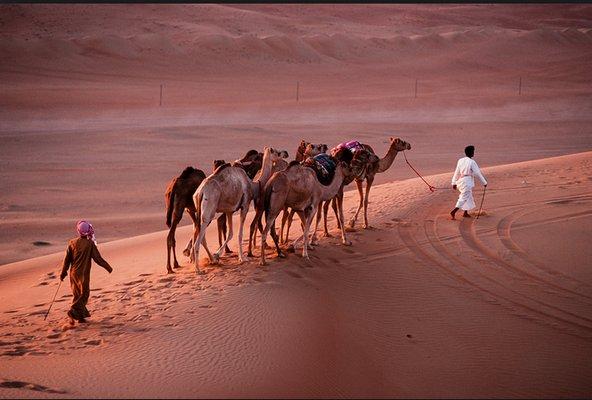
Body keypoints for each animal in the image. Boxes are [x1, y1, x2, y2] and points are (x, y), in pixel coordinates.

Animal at [190, 147, 282, 276]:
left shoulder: (229, 210)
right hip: (209, 210)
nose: (285, 153)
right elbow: (239, 234)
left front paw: (217, 254)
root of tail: (200, 192)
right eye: (277, 152)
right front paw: (243, 258)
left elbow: (231, 233)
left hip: (199, 210)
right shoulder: (245, 205)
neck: (253, 185)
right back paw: (198, 269)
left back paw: (211, 260)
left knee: (199, 234)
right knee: (199, 238)